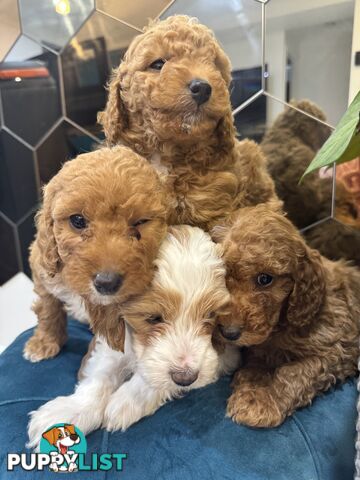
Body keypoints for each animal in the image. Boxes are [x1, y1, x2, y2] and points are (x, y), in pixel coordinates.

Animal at [26, 227, 240, 448]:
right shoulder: (116, 339)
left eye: (211, 315)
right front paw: (70, 411)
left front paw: (126, 401)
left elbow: (154, 377)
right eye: (153, 318)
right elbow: (101, 374)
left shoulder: (225, 354)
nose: (185, 378)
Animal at [214, 204, 360, 430]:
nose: (229, 333)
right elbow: (257, 362)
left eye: (265, 279)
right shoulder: (260, 346)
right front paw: (251, 388)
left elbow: (295, 373)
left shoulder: (338, 349)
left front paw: (264, 402)